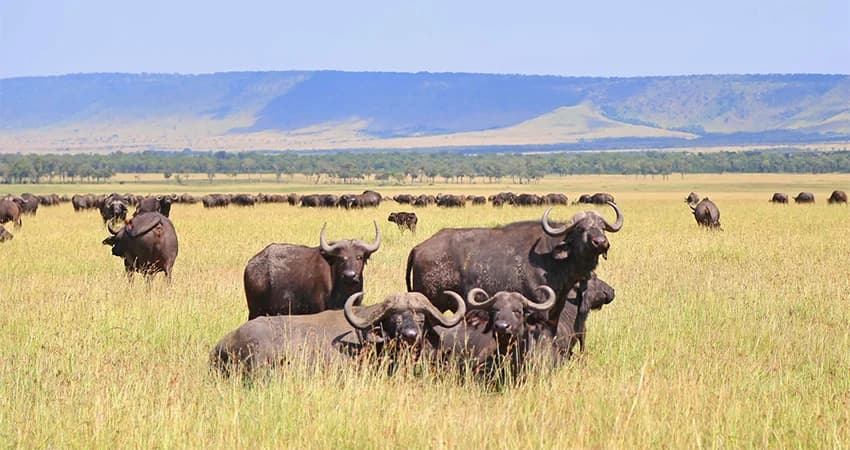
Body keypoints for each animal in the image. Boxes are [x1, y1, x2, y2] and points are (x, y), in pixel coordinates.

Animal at [244, 222, 381, 319]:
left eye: (359, 257)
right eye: (340, 258)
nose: (349, 275)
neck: (343, 291)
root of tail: (250, 265)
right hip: (255, 310)